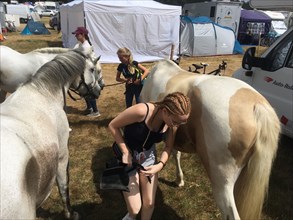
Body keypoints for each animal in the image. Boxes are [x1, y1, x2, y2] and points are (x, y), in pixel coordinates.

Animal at [0, 50, 97, 219]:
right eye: (92, 69)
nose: (98, 91)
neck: (43, 92)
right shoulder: (63, 155)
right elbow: (64, 186)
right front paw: (70, 213)